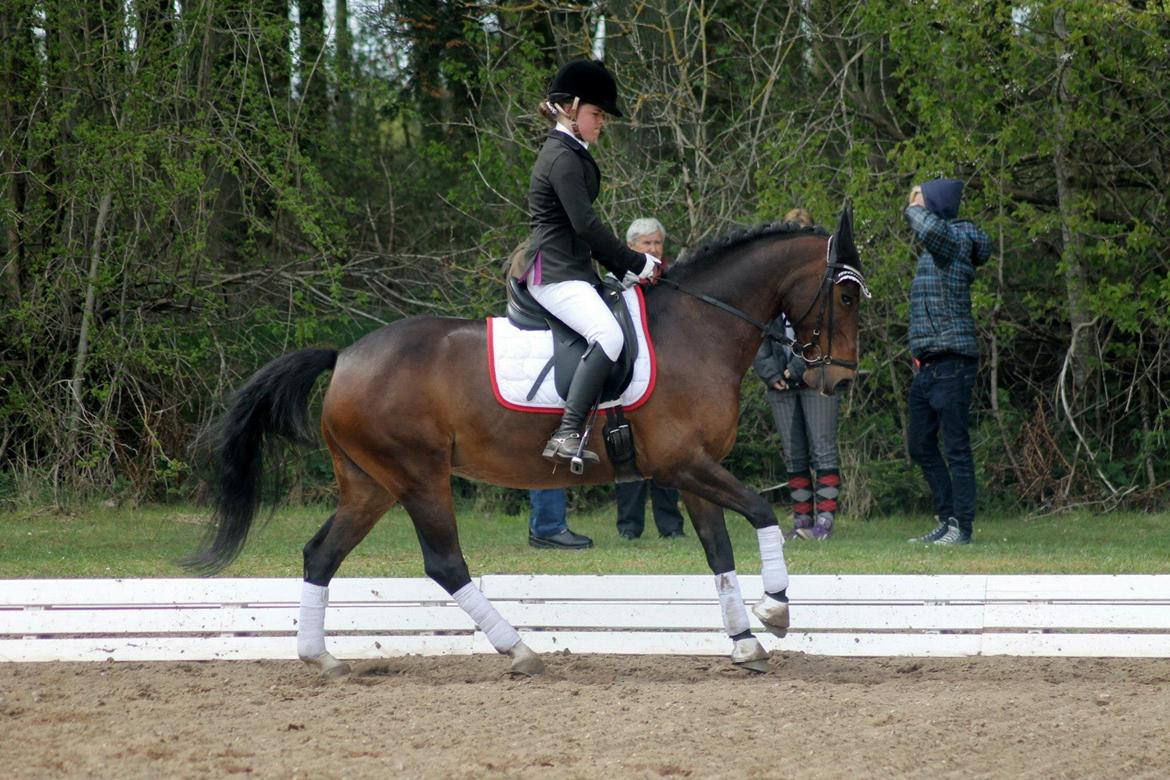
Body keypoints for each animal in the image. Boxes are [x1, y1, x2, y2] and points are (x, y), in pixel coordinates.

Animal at [187, 206, 866, 677]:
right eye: (845, 293)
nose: (837, 379)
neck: (699, 328)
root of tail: (346, 356)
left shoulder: (693, 471)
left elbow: (719, 551)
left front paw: (745, 643)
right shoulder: (684, 464)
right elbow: (761, 512)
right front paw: (776, 609)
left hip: (370, 485)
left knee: (320, 555)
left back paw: (322, 658)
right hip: (418, 476)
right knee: (444, 563)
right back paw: (519, 651)